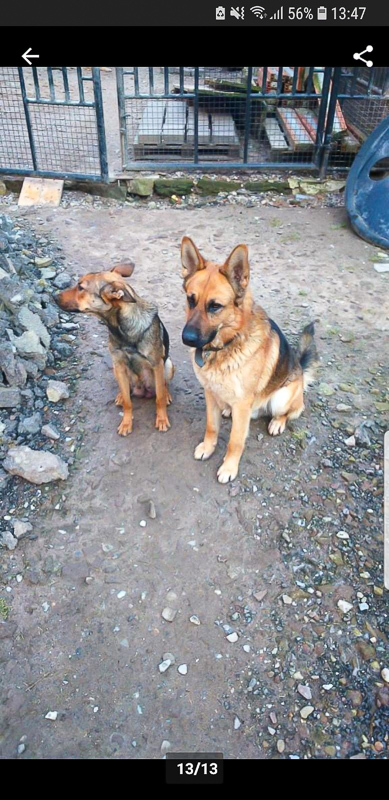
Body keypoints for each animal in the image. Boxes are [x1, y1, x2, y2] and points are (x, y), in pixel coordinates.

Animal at [55, 264, 173, 434]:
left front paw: (162, 419)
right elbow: (128, 403)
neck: (123, 329)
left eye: (80, 287)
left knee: (163, 385)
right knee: (126, 390)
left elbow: (159, 398)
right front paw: (126, 423)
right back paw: (120, 396)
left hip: (168, 364)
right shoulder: (119, 363)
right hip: (116, 370)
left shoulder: (157, 364)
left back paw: (167, 393)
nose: (54, 296)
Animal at [180, 234, 316, 484]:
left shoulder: (243, 403)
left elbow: (235, 440)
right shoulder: (210, 393)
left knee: (289, 412)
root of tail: (300, 371)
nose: (187, 339)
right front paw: (208, 447)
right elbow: (211, 426)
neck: (225, 345)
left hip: (282, 398)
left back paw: (277, 422)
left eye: (215, 306)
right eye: (190, 300)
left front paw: (229, 468)